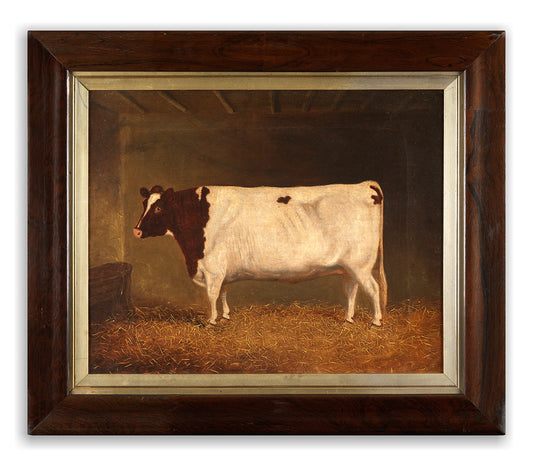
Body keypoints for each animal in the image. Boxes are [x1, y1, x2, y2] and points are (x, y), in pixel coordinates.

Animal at [131, 180, 384, 326]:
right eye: (144, 203)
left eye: (159, 207)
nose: (136, 230)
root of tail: (365, 185)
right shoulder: (222, 268)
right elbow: (223, 292)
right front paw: (225, 316)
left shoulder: (212, 266)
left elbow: (212, 295)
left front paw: (211, 320)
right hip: (348, 267)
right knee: (351, 292)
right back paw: (348, 319)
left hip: (360, 265)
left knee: (373, 289)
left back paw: (376, 321)